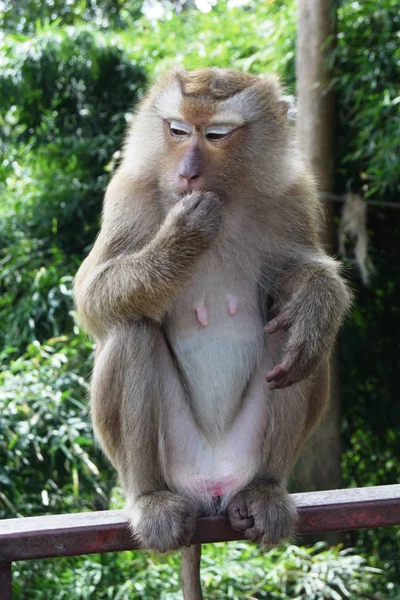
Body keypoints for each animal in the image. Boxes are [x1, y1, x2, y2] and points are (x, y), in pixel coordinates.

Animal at [73, 68, 352, 596]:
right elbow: (92, 296)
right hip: (174, 458)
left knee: (299, 342)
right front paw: (184, 236)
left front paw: (317, 299)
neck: (230, 196)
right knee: (131, 329)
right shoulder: (128, 193)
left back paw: (266, 490)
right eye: (178, 130)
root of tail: (211, 489)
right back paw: (150, 499)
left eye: (217, 135)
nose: (187, 173)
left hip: (247, 454)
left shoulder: (292, 196)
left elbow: (300, 272)